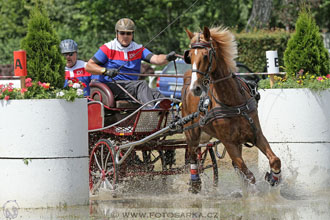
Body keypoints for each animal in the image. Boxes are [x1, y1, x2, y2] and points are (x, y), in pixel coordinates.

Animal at [183, 26, 282, 193]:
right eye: (189, 56)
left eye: (206, 55)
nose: (195, 88)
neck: (232, 103)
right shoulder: (229, 143)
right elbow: (248, 175)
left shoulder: (256, 134)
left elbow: (275, 160)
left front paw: (274, 179)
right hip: (192, 133)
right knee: (192, 155)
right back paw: (195, 183)